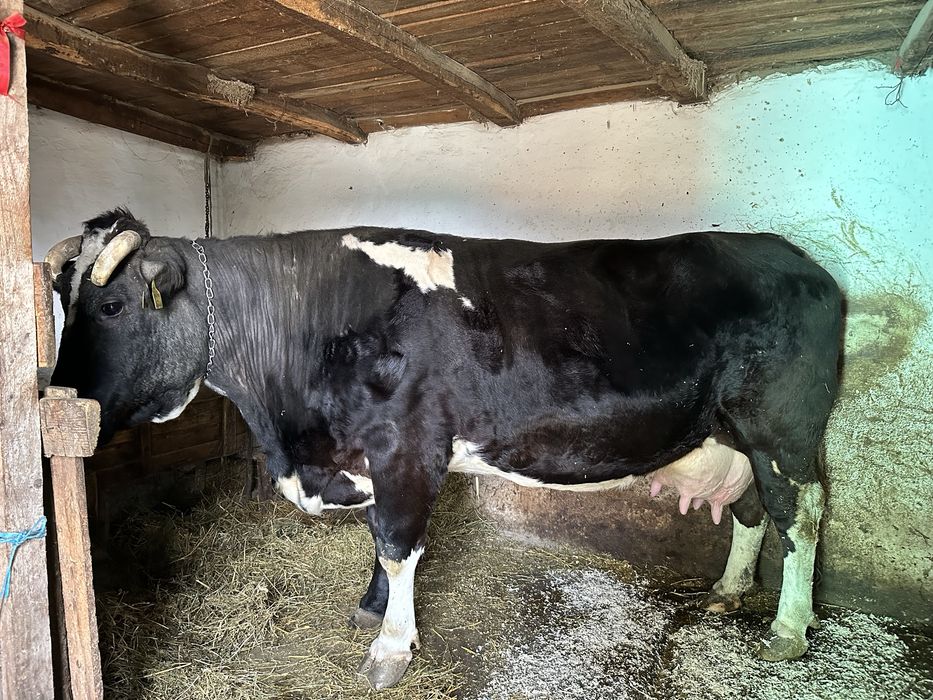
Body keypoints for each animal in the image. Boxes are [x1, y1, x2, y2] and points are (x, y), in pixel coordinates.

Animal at [48, 209, 842, 689]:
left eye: (111, 305)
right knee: (750, 511)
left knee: (800, 513)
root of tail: (800, 262)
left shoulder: (405, 449)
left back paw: (787, 630)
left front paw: (391, 647)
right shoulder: (368, 456)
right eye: (63, 304)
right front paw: (371, 609)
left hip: (784, 428)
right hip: (729, 436)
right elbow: (379, 539)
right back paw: (727, 592)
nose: (54, 397)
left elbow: (398, 544)